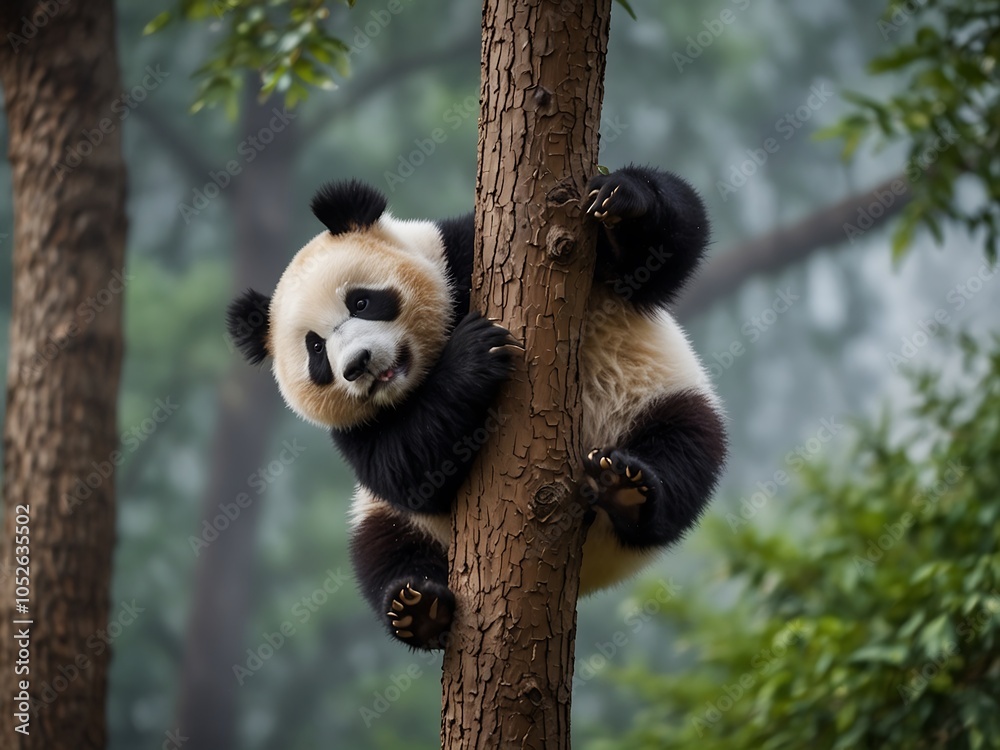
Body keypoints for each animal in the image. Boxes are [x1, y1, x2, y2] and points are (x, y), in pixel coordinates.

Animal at [227, 165, 727, 650]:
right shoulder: (354, 428)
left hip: (650, 399)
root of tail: (590, 571)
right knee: (382, 549)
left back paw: (627, 488)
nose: (357, 365)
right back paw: (418, 609)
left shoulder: (469, 252)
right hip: (393, 523)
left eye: (362, 301)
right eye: (315, 350)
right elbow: (404, 469)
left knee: (683, 449)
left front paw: (620, 200)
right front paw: (473, 357)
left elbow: (663, 253)